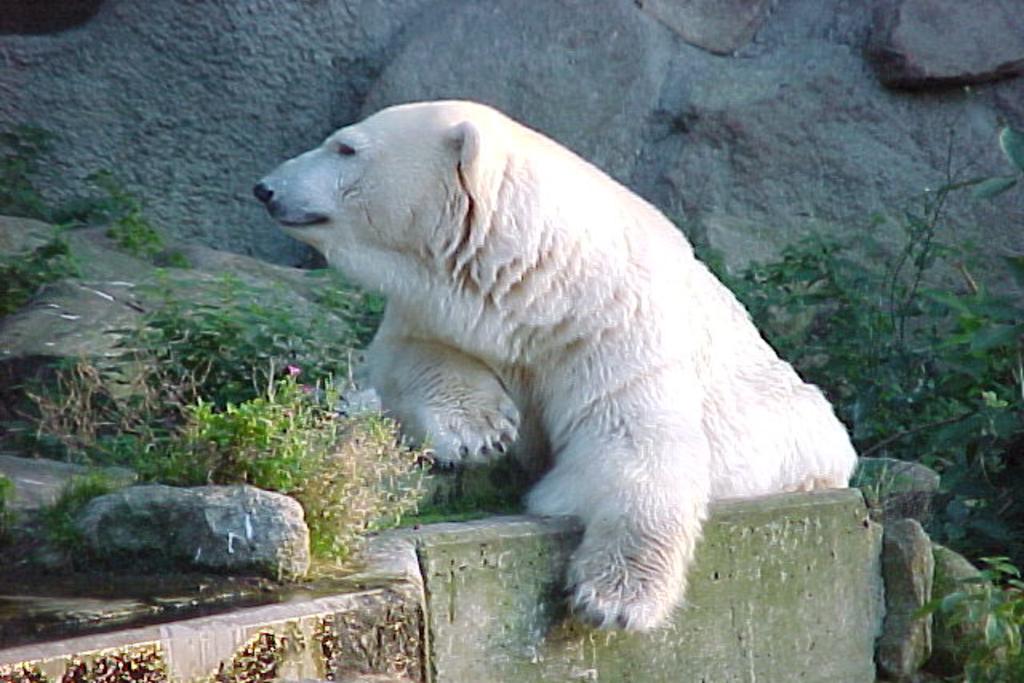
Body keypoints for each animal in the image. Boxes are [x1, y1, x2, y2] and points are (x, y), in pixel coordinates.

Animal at [253, 100, 856, 630]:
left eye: (345, 147)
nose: (265, 188)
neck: (542, 284)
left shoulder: (617, 330)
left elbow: (632, 446)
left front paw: (614, 600)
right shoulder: (442, 309)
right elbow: (407, 353)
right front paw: (480, 431)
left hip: (798, 429)